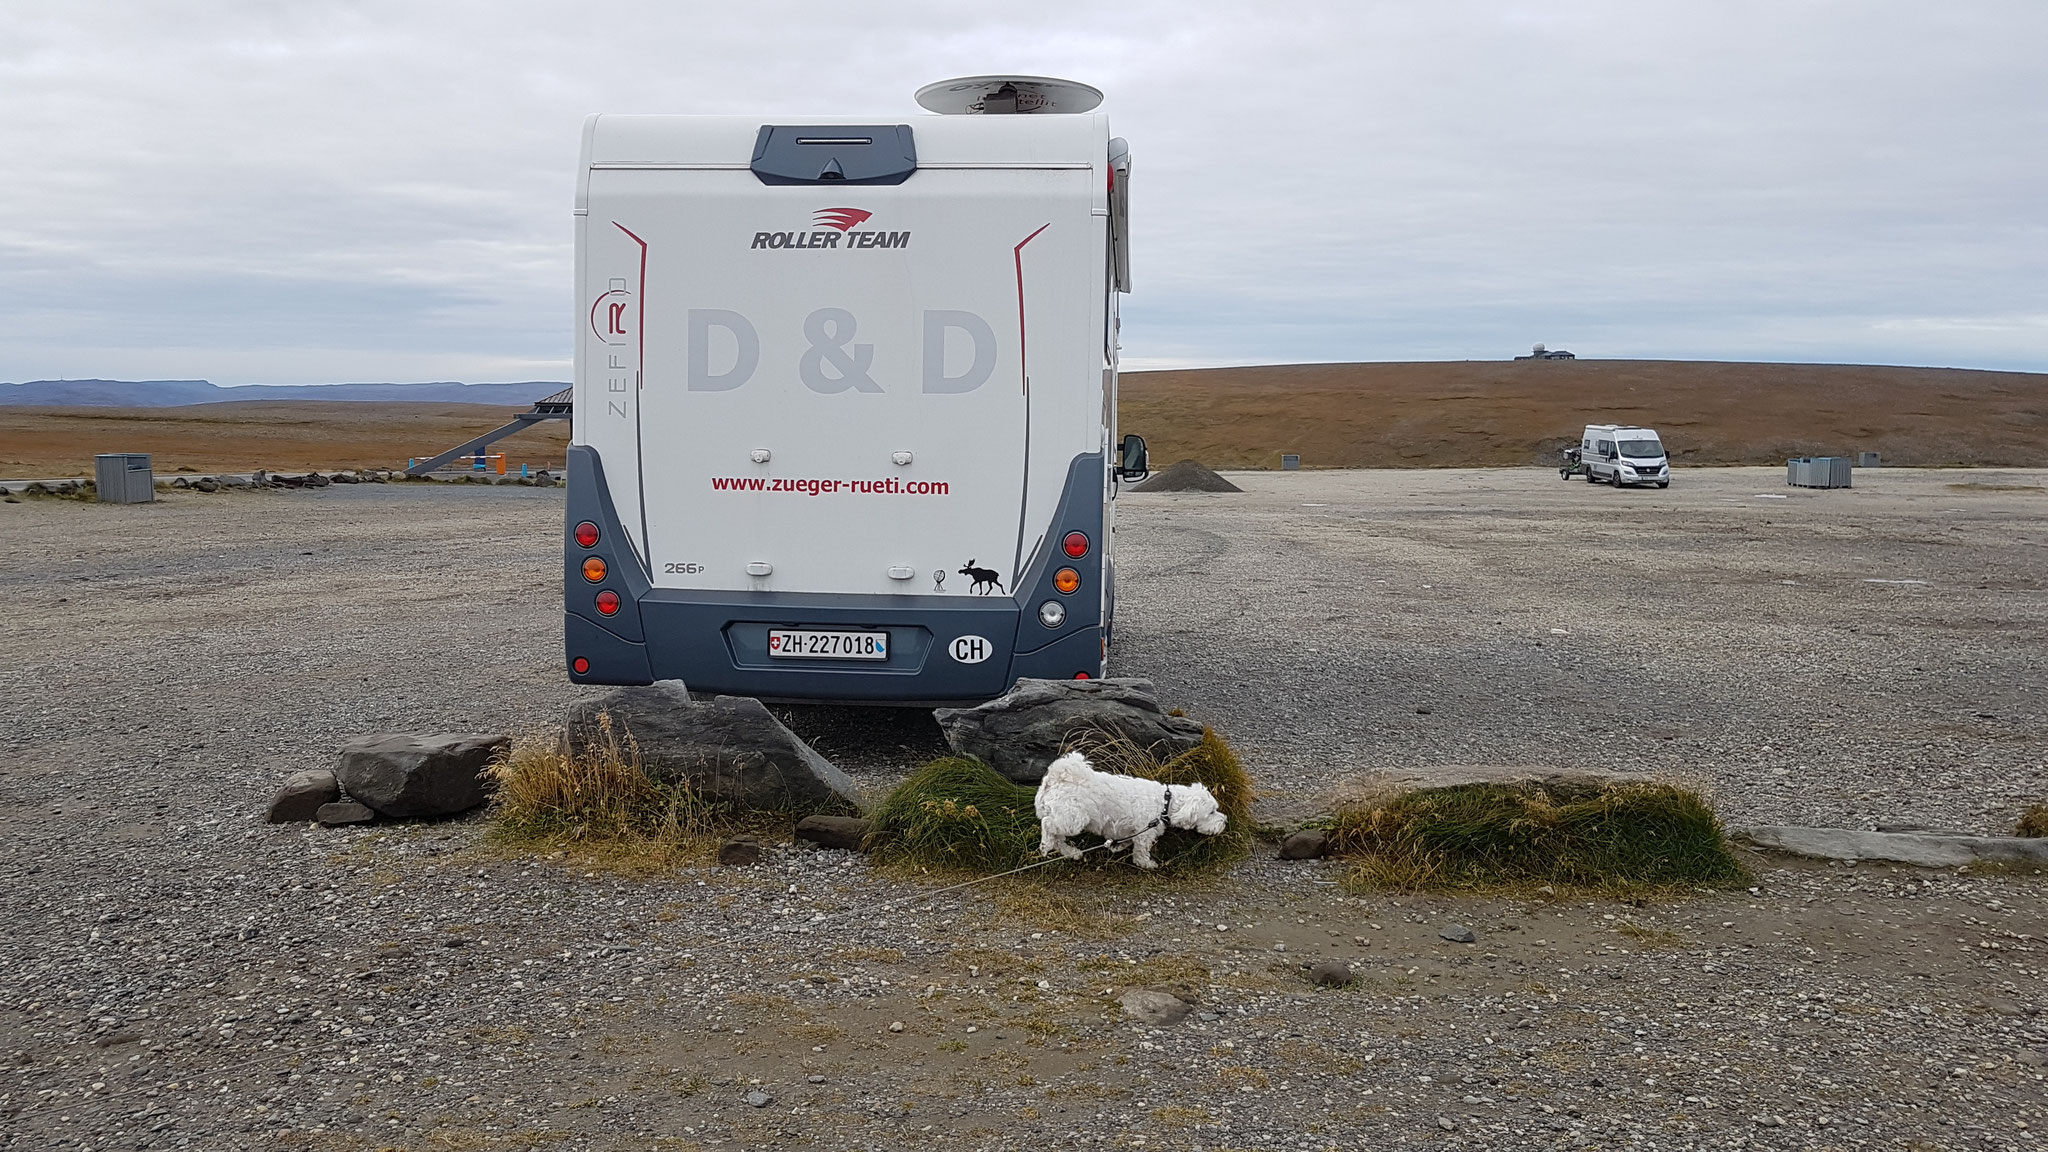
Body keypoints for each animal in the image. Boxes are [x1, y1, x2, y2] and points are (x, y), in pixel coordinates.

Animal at [1040, 750, 1228, 865]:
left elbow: (1126, 840)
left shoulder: (1132, 830)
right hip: (1073, 818)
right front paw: (1146, 863)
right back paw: (1045, 844)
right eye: (1211, 812)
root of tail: (1056, 778)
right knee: (1048, 825)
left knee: (1058, 839)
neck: (1165, 803)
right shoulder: (1145, 833)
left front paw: (1117, 846)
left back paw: (1071, 852)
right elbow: (1140, 851)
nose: (1225, 821)